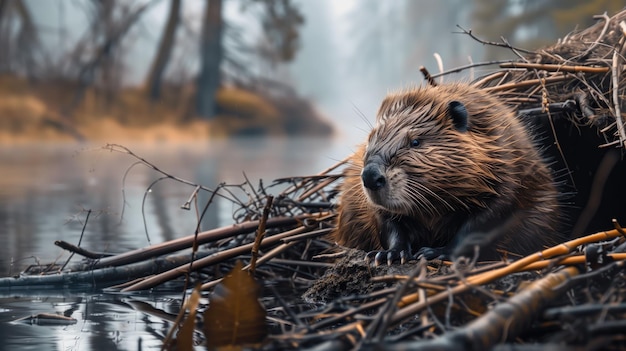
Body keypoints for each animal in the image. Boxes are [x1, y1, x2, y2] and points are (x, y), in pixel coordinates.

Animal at [332, 83, 560, 264]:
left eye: (415, 142)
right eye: (371, 138)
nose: (370, 177)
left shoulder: (509, 170)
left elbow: (486, 221)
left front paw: (436, 253)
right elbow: (386, 221)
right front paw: (390, 254)